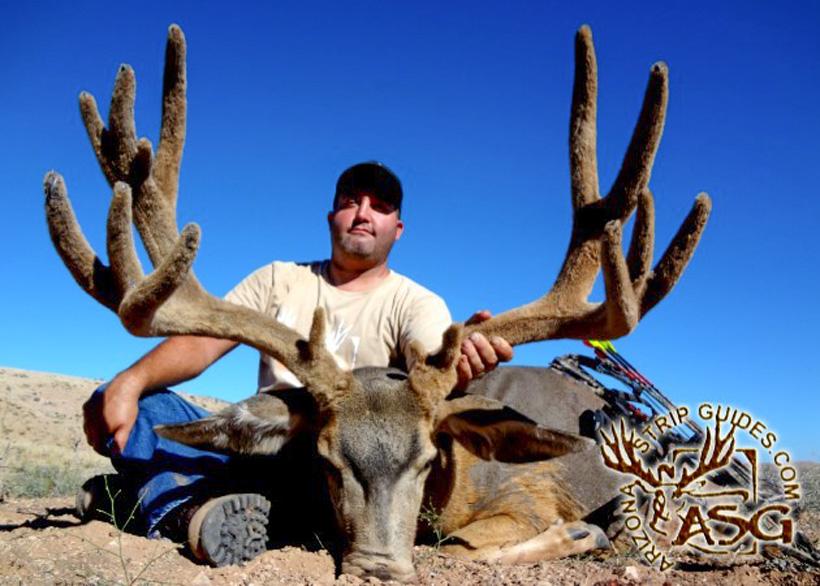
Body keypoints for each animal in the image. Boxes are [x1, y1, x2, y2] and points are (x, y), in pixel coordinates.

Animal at [44, 24, 711, 582]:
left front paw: (579, 534)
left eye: (426, 460)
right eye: (327, 461)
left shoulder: (530, 497)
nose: (378, 570)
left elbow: (467, 547)